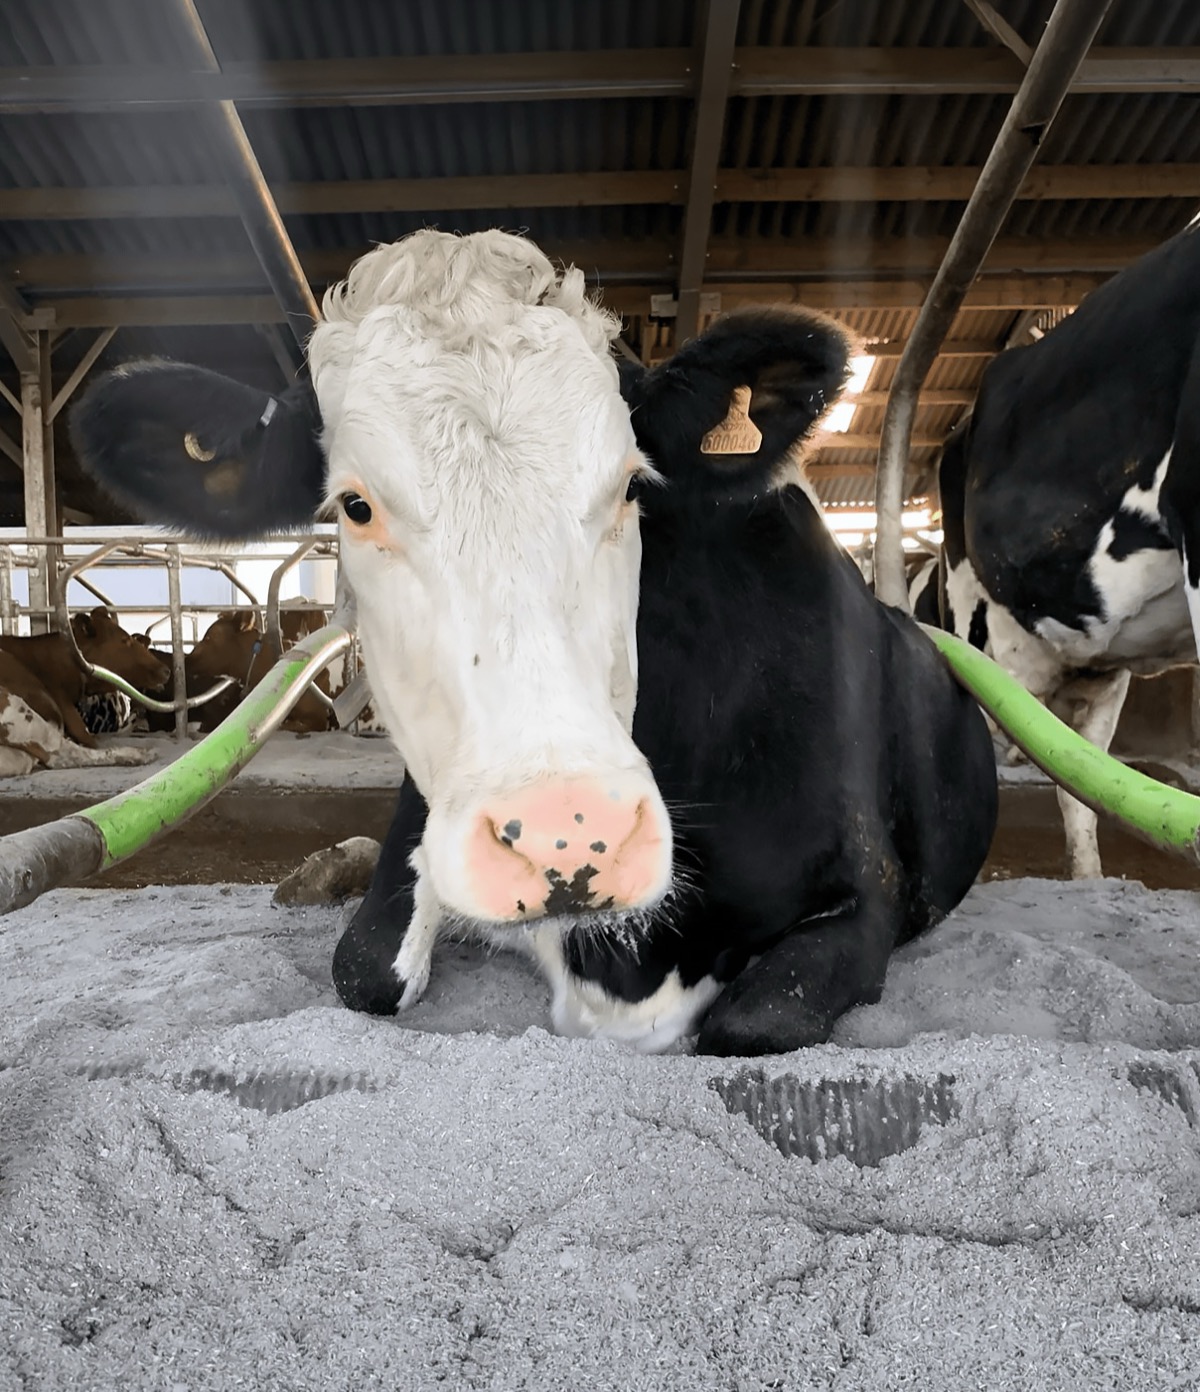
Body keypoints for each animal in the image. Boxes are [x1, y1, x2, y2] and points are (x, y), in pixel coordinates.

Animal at [69, 228, 997, 1057]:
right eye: (354, 506)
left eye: (630, 485)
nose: (570, 836)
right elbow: (364, 968)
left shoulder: (867, 894)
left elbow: (752, 1023)